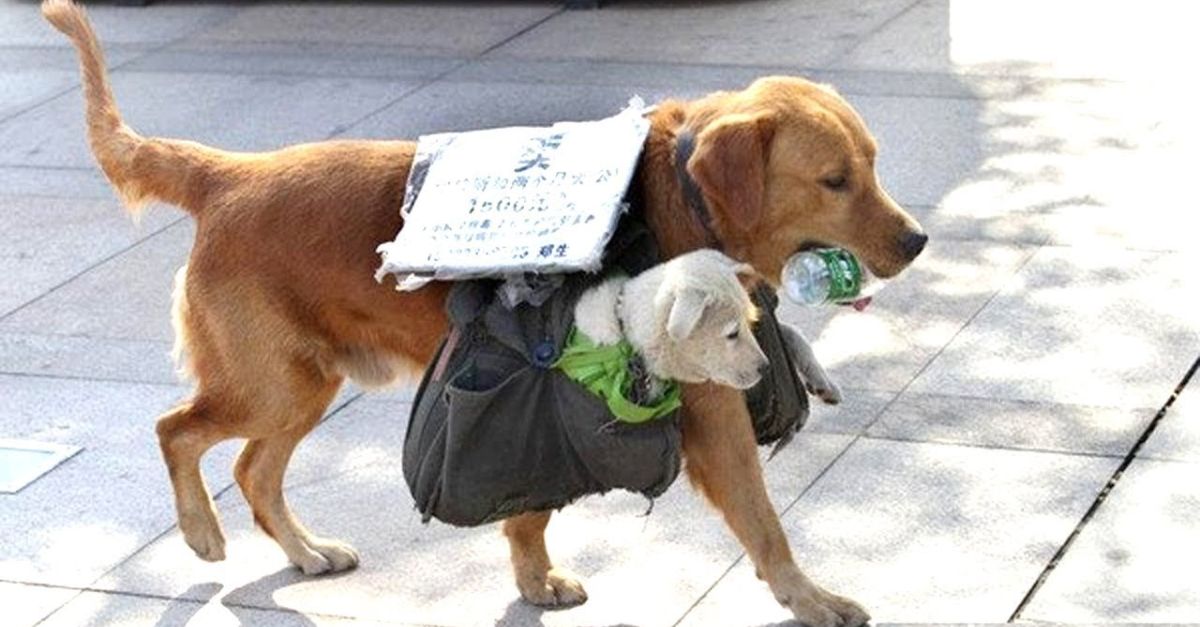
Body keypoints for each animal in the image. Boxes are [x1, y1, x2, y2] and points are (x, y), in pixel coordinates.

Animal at [44, 2, 926, 619]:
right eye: (835, 180)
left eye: (874, 163)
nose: (918, 240)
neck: (683, 196)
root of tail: (226, 173)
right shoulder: (708, 414)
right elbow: (764, 523)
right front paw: (811, 599)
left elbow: (528, 507)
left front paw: (532, 577)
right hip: (272, 385)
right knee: (178, 430)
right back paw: (200, 531)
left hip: (306, 386)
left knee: (251, 469)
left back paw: (305, 551)